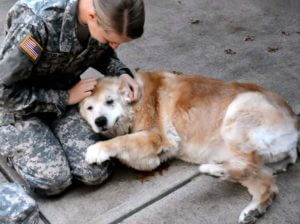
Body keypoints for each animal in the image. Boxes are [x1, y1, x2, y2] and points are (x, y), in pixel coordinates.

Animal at [79, 72, 298, 224]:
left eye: (110, 101)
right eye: (89, 108)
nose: (99, 121)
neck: (135, 103)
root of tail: (295, 123)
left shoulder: (158, 138)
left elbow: (122, 140)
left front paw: (97, 150)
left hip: (237, 112)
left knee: (249, 167)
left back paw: (212, 170)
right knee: (266, 182)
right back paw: (252, 209)